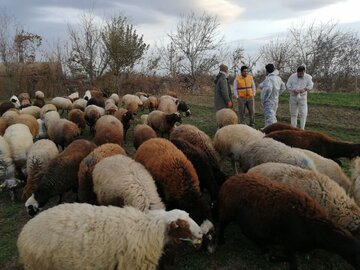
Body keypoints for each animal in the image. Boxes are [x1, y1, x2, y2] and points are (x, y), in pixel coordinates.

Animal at [17, 205, 202, 270]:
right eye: (182, 225)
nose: (201, 233)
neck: (147, 230)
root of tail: (24, 233)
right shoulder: (132, 266)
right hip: (40, 266)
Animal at [212, 172, 360, 268]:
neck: (316, 228)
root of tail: (230, 180)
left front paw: (272, 255)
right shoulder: (288, 243)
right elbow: (293, 263)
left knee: (249, 233)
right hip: (229, 211)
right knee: (223, 224)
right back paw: (221, 240)